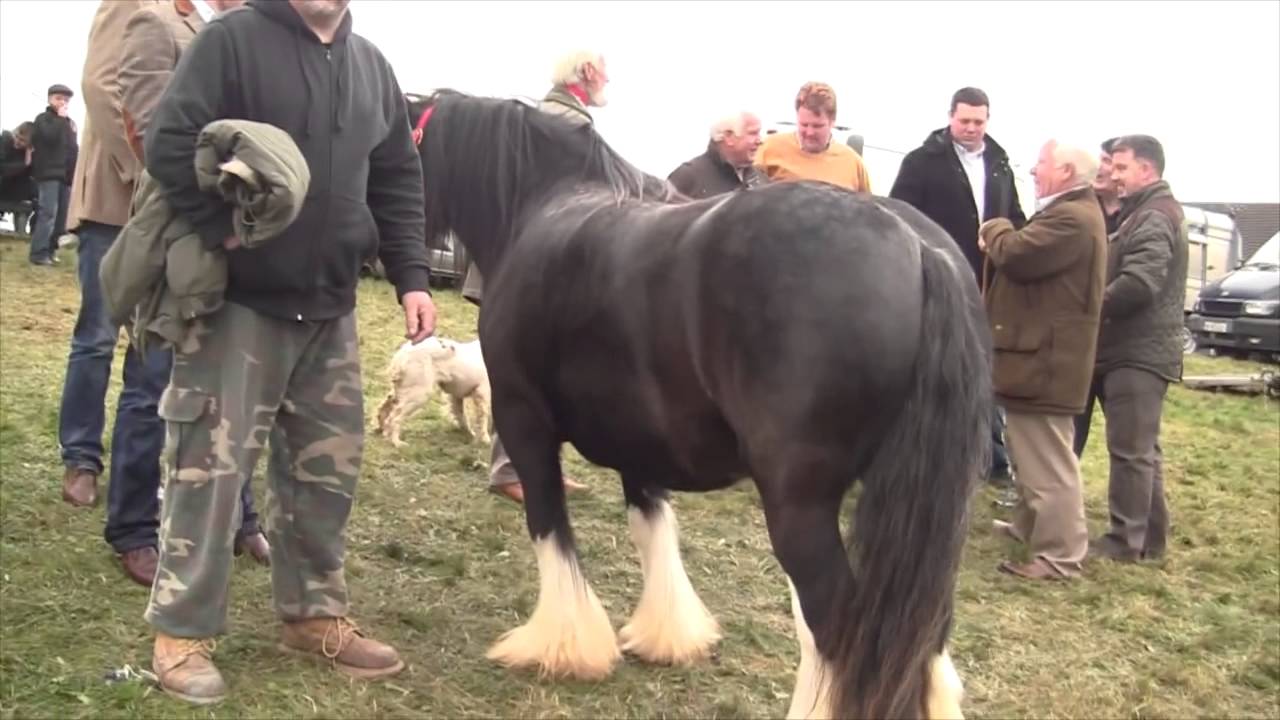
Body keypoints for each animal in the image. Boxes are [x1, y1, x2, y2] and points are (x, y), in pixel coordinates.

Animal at [409, 90, 992, 720]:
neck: (543, 204)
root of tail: (920, 249)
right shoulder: (637, 442)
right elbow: (653, 529)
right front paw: (665, 635)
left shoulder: (525, 424)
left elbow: (550, 531)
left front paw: (562, 647)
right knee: (921, 638)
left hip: (801, 508)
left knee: (840, 628)